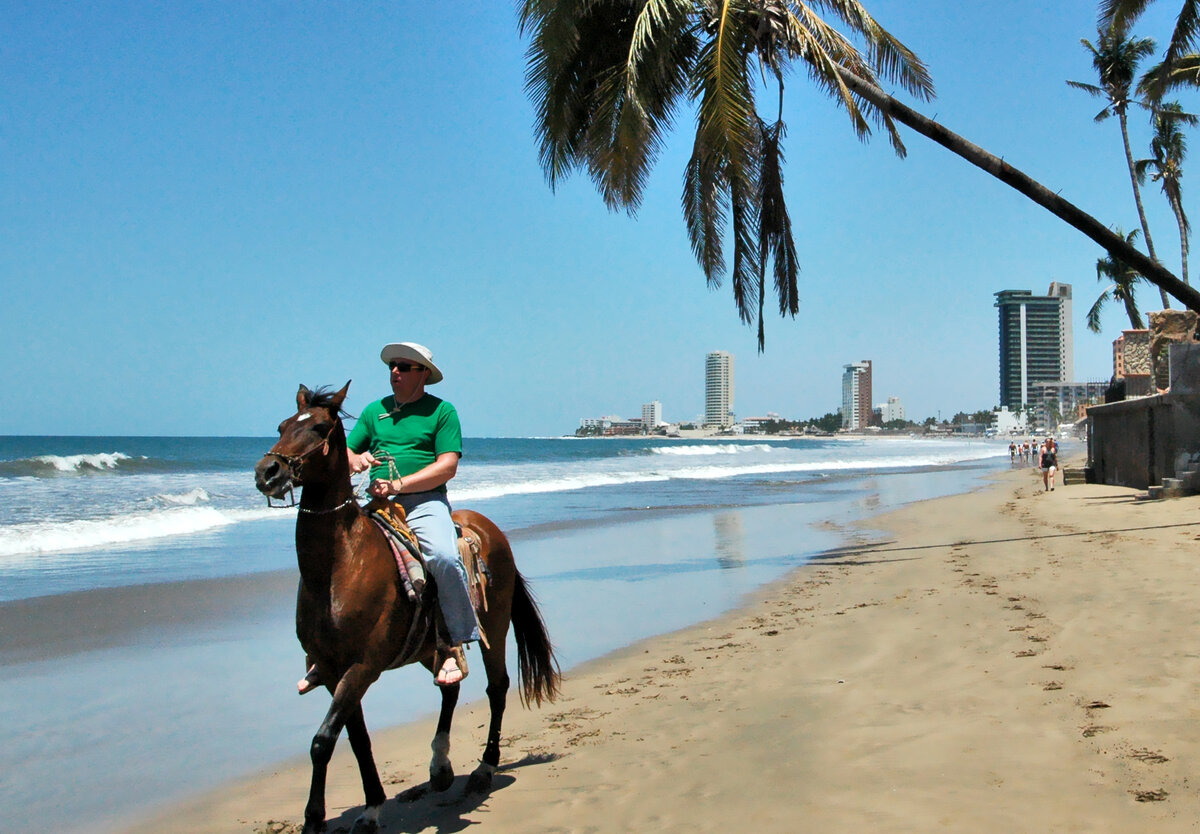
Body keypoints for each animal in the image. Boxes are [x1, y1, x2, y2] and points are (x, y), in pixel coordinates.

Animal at [252, 384, 556, 834]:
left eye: (321, 428)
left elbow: (323, 741)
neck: (340, 568)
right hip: (430, 646)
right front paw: (370, 808)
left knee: (497, 688)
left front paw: (316, 820)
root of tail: (491, 531)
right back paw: (440, 768)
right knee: (450, 686)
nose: (267, 472)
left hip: (495, 626)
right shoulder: (332, 670)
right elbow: (356, 740)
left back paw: (483, 769)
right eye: (282, 426)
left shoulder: (362, 666)